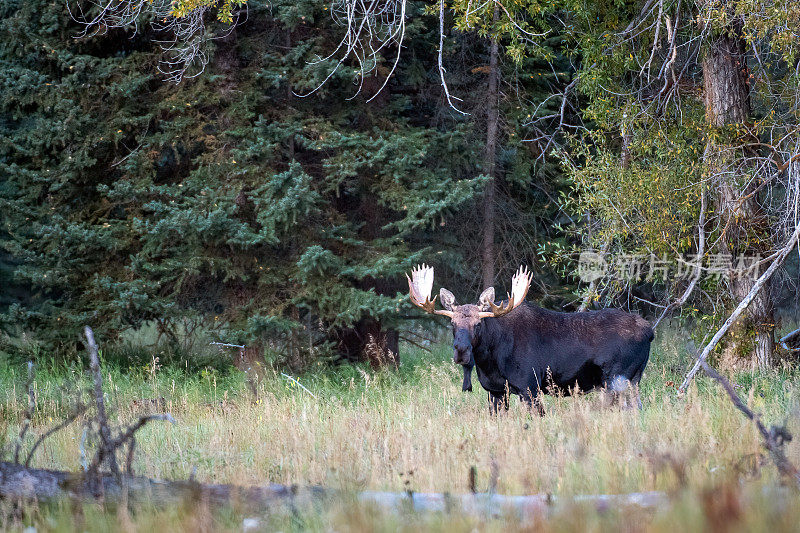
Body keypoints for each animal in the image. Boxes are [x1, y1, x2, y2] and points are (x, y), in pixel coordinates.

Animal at [410, 264, 652, 414]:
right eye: (452, 323)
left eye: (478, 324)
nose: (461, 350)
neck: (490, 362)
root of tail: (650, 331)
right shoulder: (496, 391)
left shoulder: (529, 386)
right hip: (633, 379)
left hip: (617, 378)